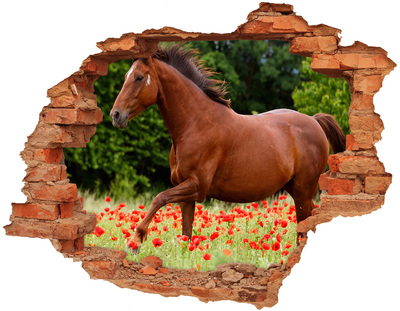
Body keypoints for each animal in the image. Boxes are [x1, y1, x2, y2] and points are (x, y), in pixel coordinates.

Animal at [110, 44, 346, 254]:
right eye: (126, 76)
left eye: (139, 77)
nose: (115, 115)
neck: (195, 124)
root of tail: (315, 121)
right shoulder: (186, 193)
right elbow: (186, 234)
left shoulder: (197, 186)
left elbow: (159, 198)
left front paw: (135, 242)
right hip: (295, 189)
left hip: (304, 190)